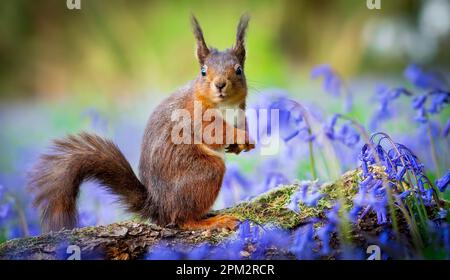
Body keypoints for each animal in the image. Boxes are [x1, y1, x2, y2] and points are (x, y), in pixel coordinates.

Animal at [29, 14, 255, 232]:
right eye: (203, 72)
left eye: (238, 70)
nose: (220, 84)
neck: (225, 105)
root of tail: (159, 207)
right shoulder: (196, 116)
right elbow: (214, 131)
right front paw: (240, 137)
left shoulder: (240, 112)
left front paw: (245, 142)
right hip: (204, 172)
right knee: (183, 219)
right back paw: (211, 221)